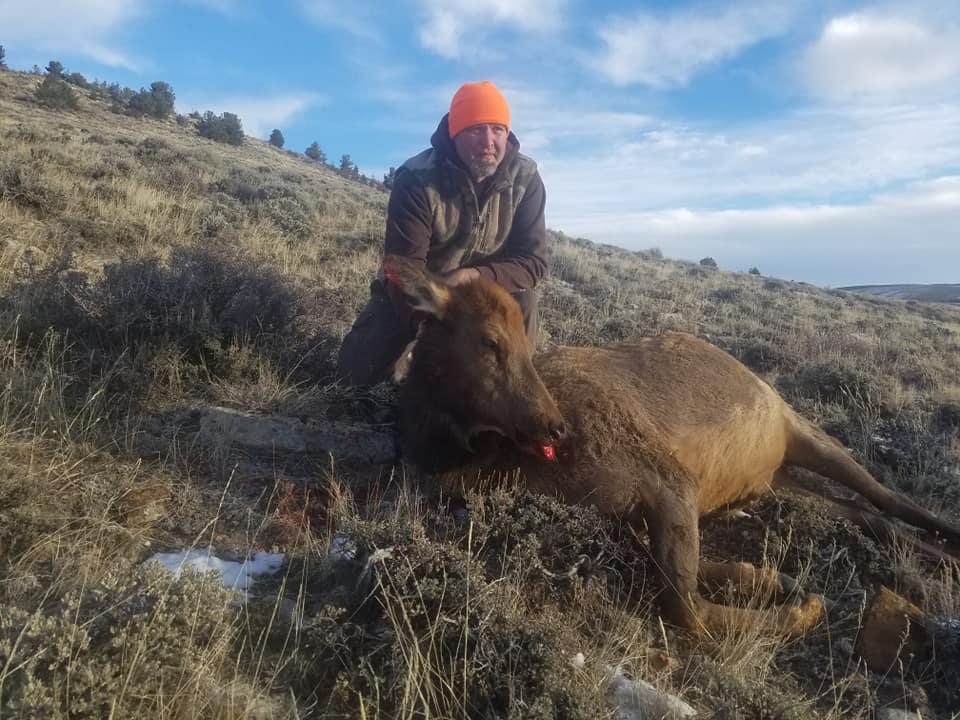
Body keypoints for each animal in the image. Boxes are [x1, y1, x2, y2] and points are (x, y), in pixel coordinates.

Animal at [382, 255, 960, 638]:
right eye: (489, 341)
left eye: (524, 340)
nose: (553, 426)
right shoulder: (630, 516)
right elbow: (693, 581)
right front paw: (771, 578)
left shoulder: (666, 477)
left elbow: (685, 606)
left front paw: (802, 607)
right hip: (780, 481)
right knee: (869, 516)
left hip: (802, 429)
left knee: (889, 498)